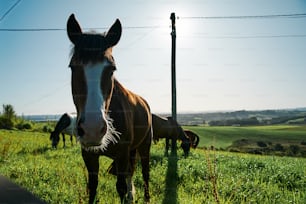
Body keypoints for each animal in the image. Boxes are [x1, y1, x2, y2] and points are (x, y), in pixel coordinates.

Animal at [67, 13, 153, 203]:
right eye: (72, 66)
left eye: (112, 68)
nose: (92, 129)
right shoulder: (89, 155)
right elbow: (92, 187)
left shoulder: (122, 154)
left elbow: (120, 187)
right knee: (131, 171)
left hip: (144, 146)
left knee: (144, 172)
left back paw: (146, 197)